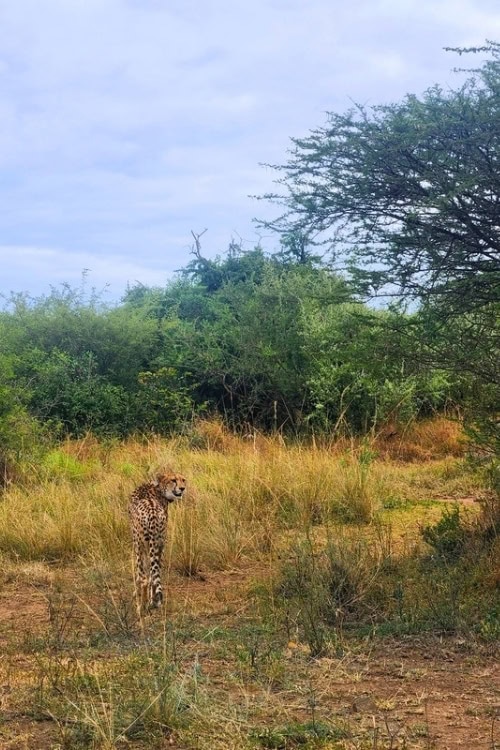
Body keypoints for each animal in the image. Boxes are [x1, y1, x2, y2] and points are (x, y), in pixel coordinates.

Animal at [129, 470, 186, 616]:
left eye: (183, 479)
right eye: (173, 480)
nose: (182, 488)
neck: (159, 489)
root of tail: (153, 513)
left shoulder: (138, 544)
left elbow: (141, 576)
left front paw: (136, 595)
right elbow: (153, 576)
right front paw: (152, 600)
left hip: (140, 544)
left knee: (144, 578)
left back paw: (141, 608)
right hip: (159, 543)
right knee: (154, 575)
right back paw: (152, 603)